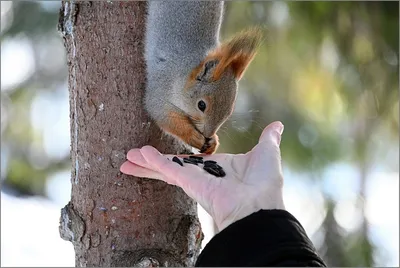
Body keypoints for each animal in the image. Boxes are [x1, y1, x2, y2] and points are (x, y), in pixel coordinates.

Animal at [145, 1, 260, 155]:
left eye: (229, 111)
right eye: (201, 105)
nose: (207, 134)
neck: (183, 72)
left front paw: (213, 143)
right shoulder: (161, 85)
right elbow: (162, 114)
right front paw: (193, 136)